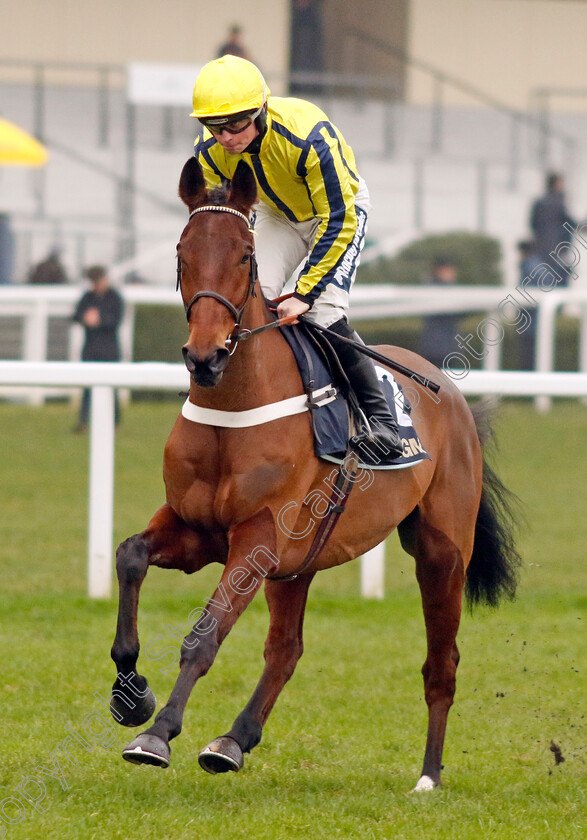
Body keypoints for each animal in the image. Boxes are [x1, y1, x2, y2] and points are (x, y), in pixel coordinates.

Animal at [109, 158, 520, 796]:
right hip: (296, 563)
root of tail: (451, 395)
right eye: (181, 252)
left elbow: (205, 634)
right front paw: (131, 695)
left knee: (442, 663)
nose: (205, 356)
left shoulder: (254, 539)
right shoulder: (196, 528)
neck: (235, 404)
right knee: (286, 649)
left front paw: (157, 735)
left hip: (441, 551)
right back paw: (232, 741)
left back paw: (428, 776)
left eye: (245, 256)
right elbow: (130, 554)